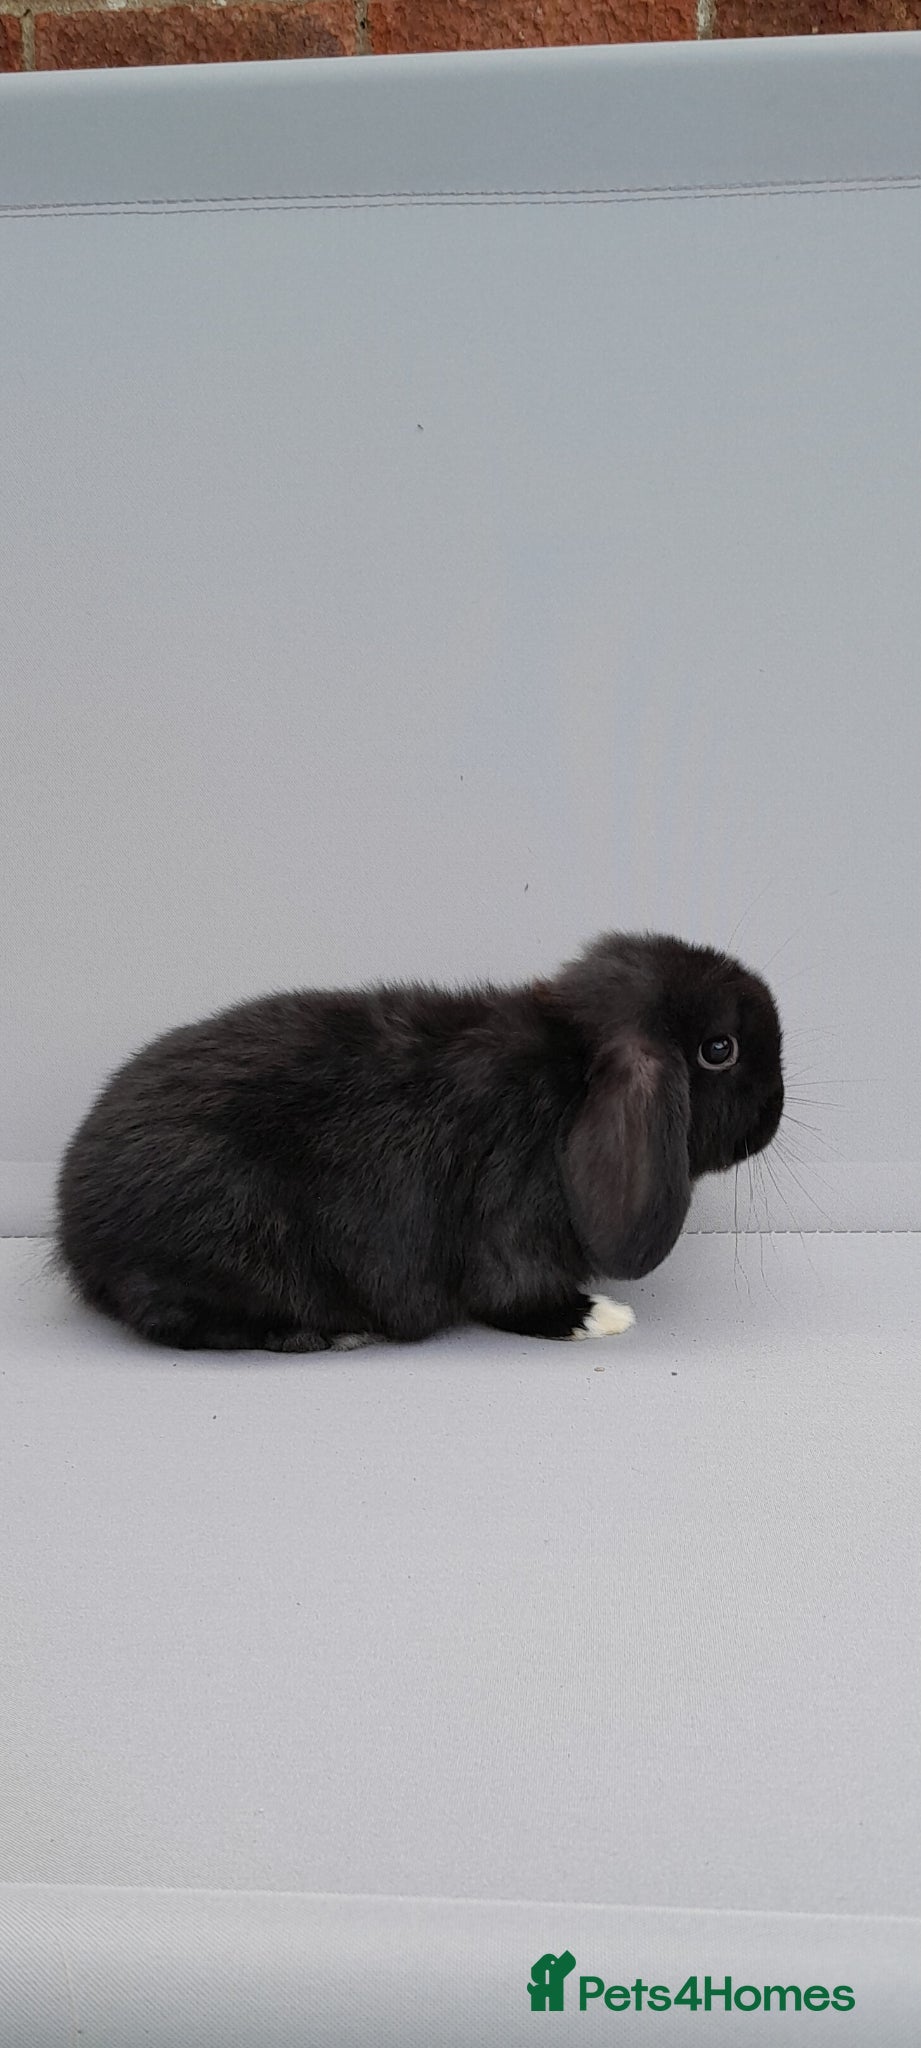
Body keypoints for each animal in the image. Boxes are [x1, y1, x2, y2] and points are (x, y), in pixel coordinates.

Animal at [52, 931, 784, 1353]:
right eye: (719, 1050)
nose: (773, 1115)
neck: (568, 1075)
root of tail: (75, 1228)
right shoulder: (510, 1230)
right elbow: (517, 1299)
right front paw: (595, 1317)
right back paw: (325, 1333)